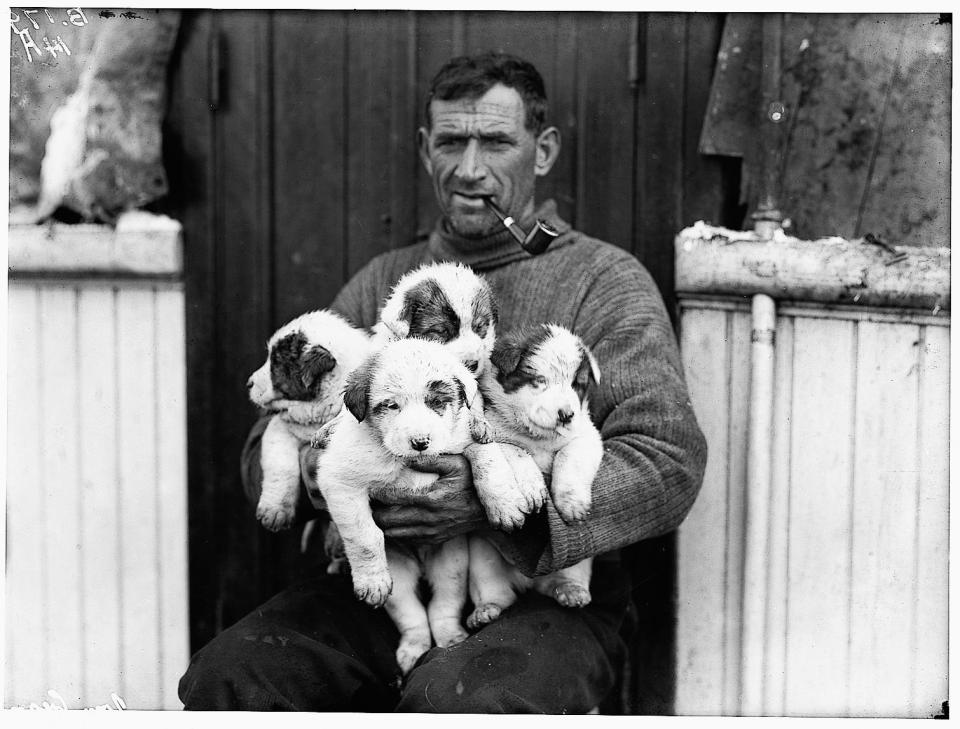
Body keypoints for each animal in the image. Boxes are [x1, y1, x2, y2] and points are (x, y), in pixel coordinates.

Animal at [314, 340, 496, 672]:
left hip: (451, 564)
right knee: (412, 615)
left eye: (437, 402)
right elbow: (364, 537)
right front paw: (371, 581)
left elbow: (486, 455)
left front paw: (504, 500)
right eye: (391, 406)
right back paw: (413, 648)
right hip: (400, 575)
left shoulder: (461, 439)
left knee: (443, 605)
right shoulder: (340, 479)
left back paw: (450, 638)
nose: (421, 442)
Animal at [468, 322, 604, 628]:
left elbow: (569, 457)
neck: (538, 436)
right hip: (482, 558)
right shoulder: (495, 434)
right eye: (539, 381)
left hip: (577, 561)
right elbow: (518, 453)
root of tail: (529, 581)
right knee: (497, 591)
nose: (566, 414)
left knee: (565, 576)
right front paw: (532, 490)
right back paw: (486, 610)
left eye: (577, 384)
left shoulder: (586, 436)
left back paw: (570, 591)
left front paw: (571, 504)